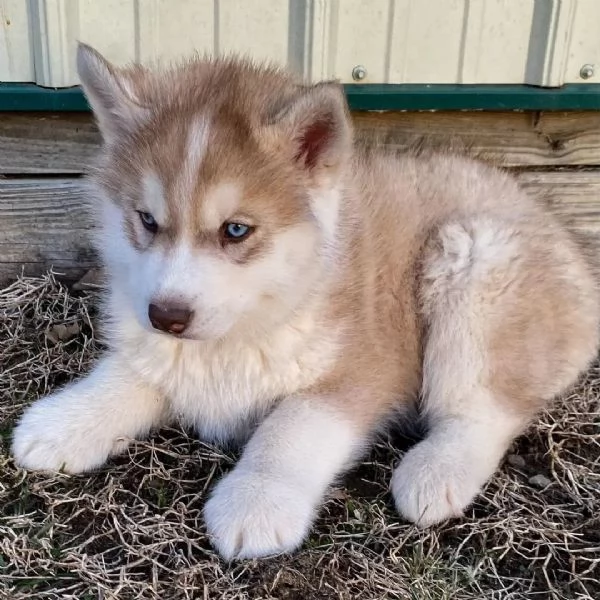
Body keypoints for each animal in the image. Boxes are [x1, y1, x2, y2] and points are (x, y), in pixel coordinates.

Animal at [10, 44, 600, 560]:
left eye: (236, 230)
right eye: (147, 221)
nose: (166, 316)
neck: (247, 329)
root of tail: (566, 239)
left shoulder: (368, 366)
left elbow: (292, 425)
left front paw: (257, 500)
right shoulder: (165, 348)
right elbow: (132, 371)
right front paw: (65, 420)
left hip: (474, 261)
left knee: (488, 410)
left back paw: (436, 472)